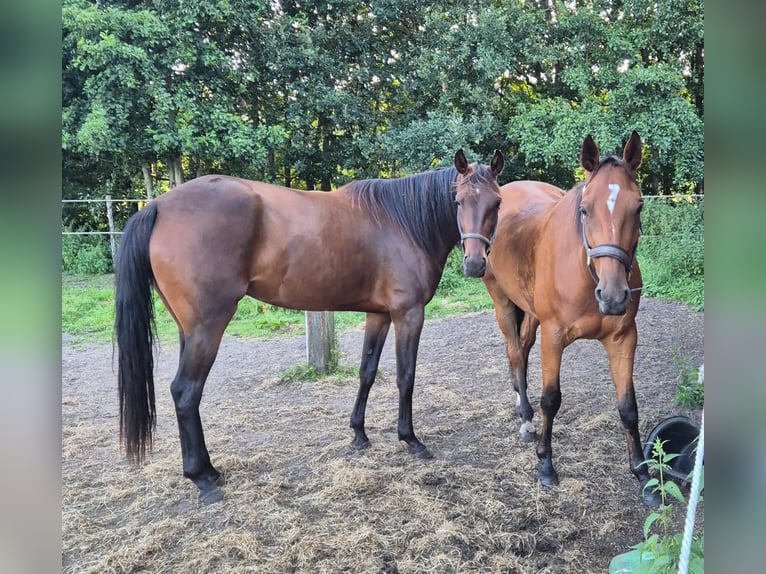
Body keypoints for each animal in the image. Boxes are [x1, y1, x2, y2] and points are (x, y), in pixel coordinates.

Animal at [115, 150, 504, 504]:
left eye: (497, 203)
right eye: (458, 200)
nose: (474, 264)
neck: (402, 222)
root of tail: (158, 206)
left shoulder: (378, 314)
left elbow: (367, 372)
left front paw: (359, 434)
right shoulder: (407, 313)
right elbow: (405, 376)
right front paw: (410, 439)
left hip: (189, 329)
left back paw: (209, 471)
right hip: (207, 327)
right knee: (186, 391)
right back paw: (202, 479)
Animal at [486, 132, 660, 508]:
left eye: (639, 207)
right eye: (585, 209)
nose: (613, 296)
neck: (586, 273)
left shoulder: (624, 338)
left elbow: (628, 407)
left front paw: (644, 476)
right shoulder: (554, 337)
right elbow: (551, 400)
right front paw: (546, 466)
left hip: (530, 313)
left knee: (522, 349)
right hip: (502, 302)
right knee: (515, 355)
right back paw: (526, 421)